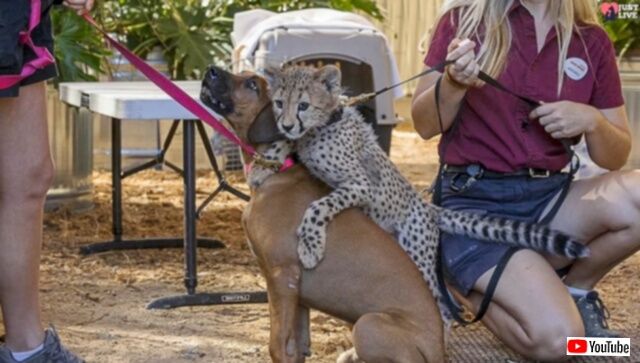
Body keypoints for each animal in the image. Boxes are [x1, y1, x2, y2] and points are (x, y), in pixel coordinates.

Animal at [200, 67, 444, 363]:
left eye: (252, 84)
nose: (210, 70)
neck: (278, 170)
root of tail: (439, 349)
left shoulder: (282, 276)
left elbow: (277, 345)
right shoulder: (297, 293)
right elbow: (297, 346)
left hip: (367, 324)